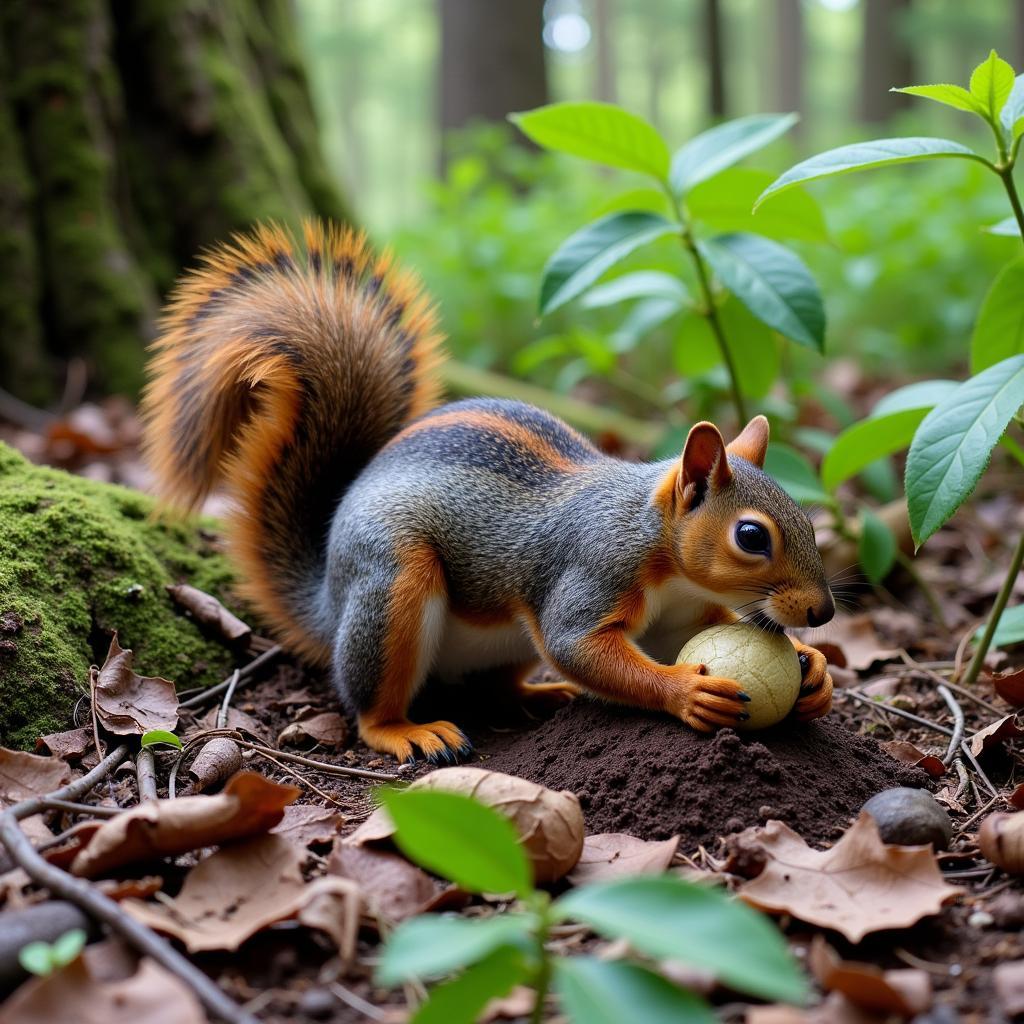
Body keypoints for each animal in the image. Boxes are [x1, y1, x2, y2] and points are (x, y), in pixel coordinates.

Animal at [142, 222, 831, 761]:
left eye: (809, 521)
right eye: (751, 536)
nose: (823, 614)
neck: (653, 538)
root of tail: (328, 602)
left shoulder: (678, 614)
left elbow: (663, 642)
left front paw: (813, 668)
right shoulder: (592, 570)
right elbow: (576, 644)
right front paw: (686, 690)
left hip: (498, 642)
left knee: (496, 684)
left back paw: (540, 693)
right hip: (392, 581)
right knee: (367, 702)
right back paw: (406, 730)